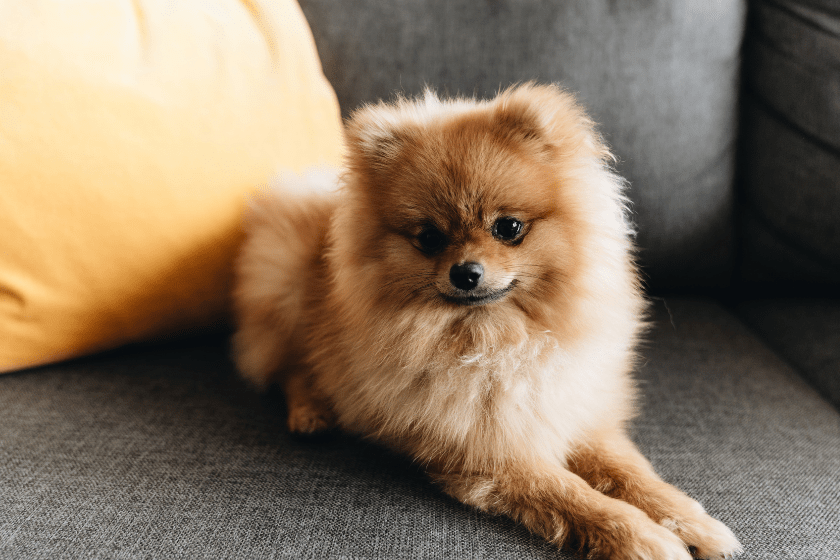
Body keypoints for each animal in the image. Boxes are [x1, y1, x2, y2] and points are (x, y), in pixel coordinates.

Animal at [231, 84, 740, 560]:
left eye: (508, 228)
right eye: (430, 238)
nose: (466, 272)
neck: (501, 340)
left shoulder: (574, 412)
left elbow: (633, 475)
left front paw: (693, 522)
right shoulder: (490, 452)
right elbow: (571, 494)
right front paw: (641, 537)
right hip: (285, 290)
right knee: (288, 366)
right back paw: (311, 412)